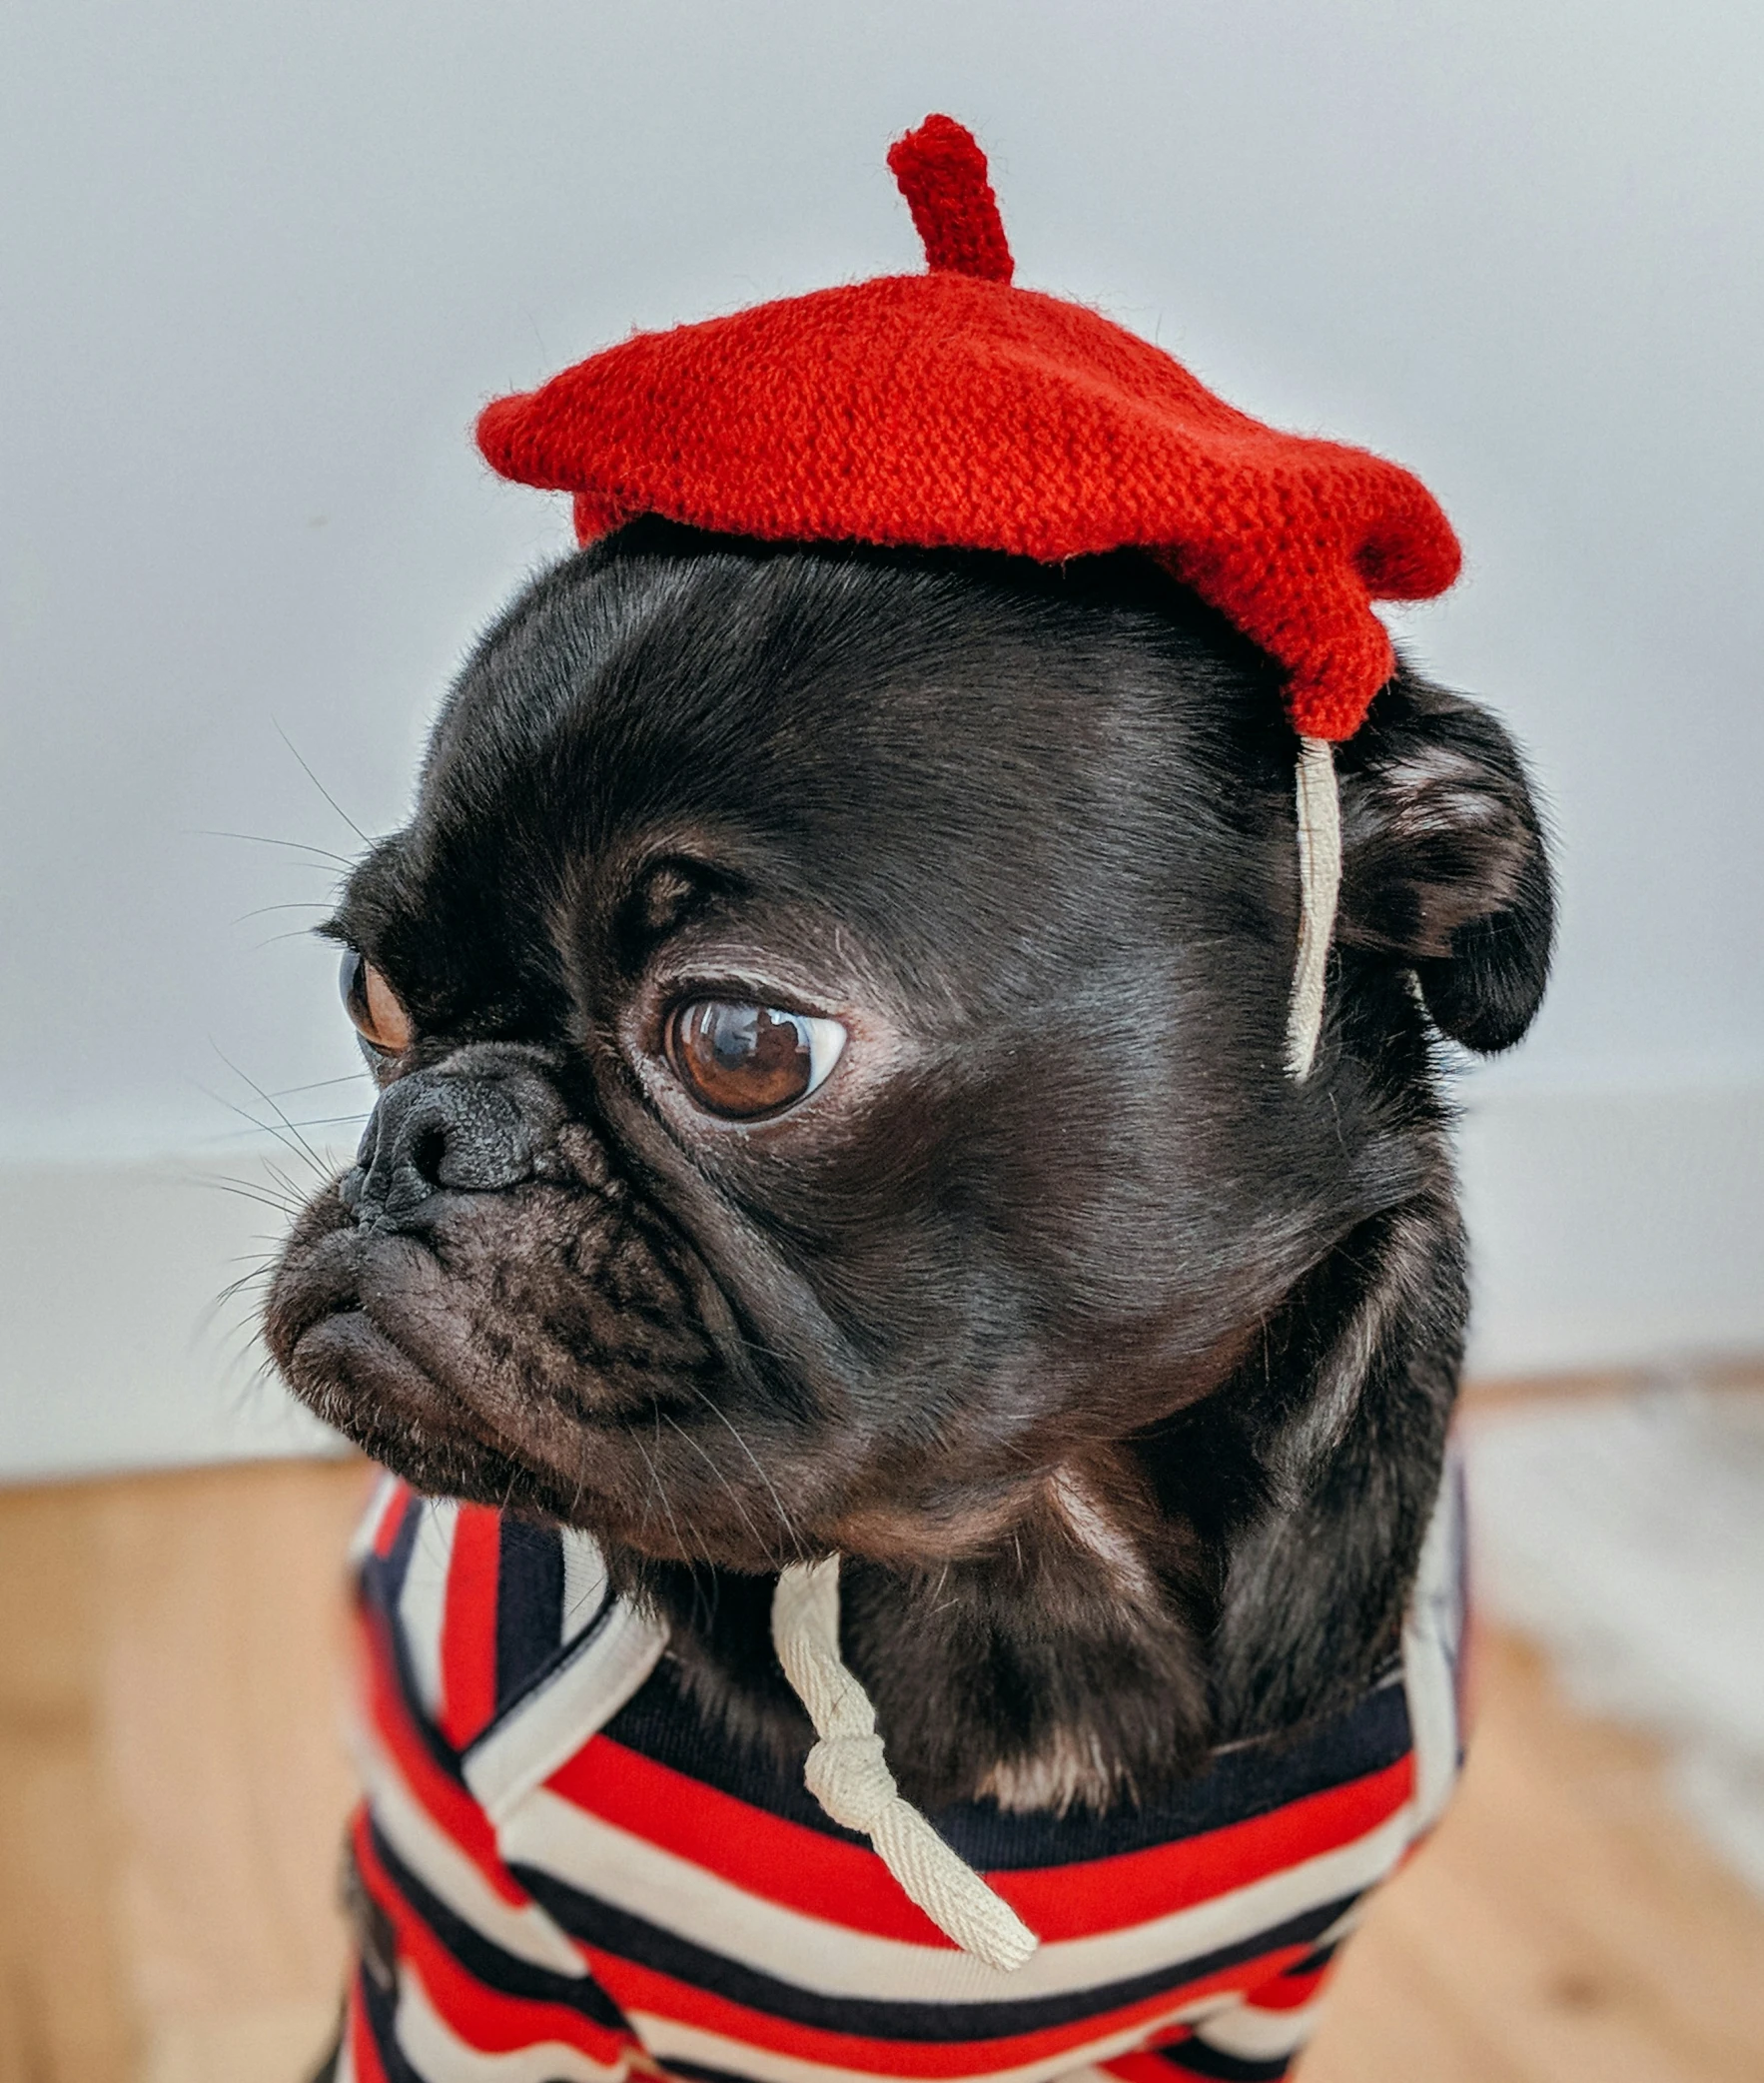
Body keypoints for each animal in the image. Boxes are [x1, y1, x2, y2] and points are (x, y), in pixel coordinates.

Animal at [268, 524, 1549, 2083]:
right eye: (369, 991)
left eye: (745, 1041)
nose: (419, 1133)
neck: (1026, 1551)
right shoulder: (467, 1968)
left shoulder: (1241, 2021)